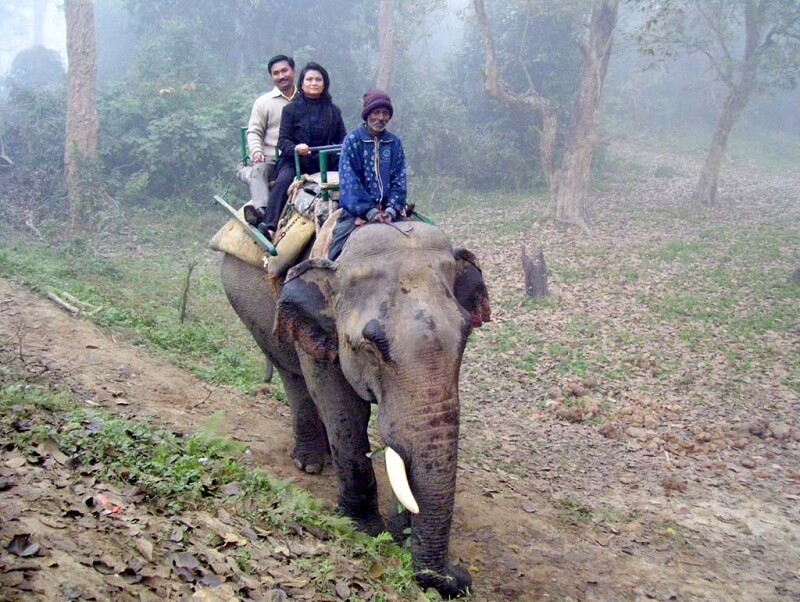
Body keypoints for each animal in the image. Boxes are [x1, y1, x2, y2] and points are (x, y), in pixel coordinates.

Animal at [221, 220, 491, 598]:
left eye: (466, 333)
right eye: (371, 347)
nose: (459, 578)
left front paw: (400, 531)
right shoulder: (325, 329)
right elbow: (343, 407)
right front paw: (364, 530)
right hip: (249, 309)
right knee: (293, 376)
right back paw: (310, 463)